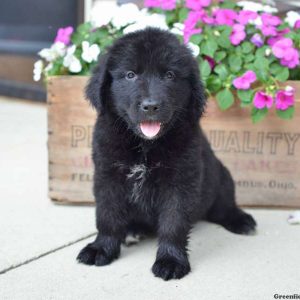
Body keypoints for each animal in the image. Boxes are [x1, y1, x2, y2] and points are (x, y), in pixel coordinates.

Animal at [77, 27, 255, 282]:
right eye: (130, 75)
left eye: (170, 75)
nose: (151, 106)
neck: (145, 146)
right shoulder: (107, 174)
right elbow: (107, 215)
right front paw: (101, 248)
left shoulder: (180, 181)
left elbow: (174, 223)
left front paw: (171, 260)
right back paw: (132, 231)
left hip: (221, 177)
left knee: (223, 206)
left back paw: (241, 220)